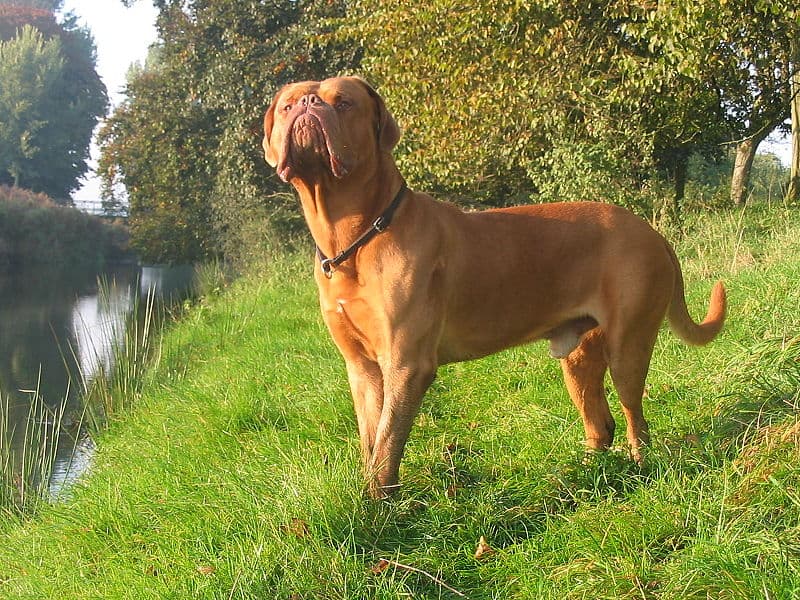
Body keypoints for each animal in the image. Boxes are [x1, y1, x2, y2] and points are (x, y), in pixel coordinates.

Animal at [262, 76, 724, 496]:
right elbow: (371, 438)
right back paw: (582, 475)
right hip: (578, 356)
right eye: (287, 105)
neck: (356, 240)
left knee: (634, 416)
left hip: (628, 343)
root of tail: (652, 232)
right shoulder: (362, 368)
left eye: (343, 103)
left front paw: (379, 509)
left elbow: (387, 444)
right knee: (599, 421)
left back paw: (640, 465)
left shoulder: (406, 363)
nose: (306, 106)